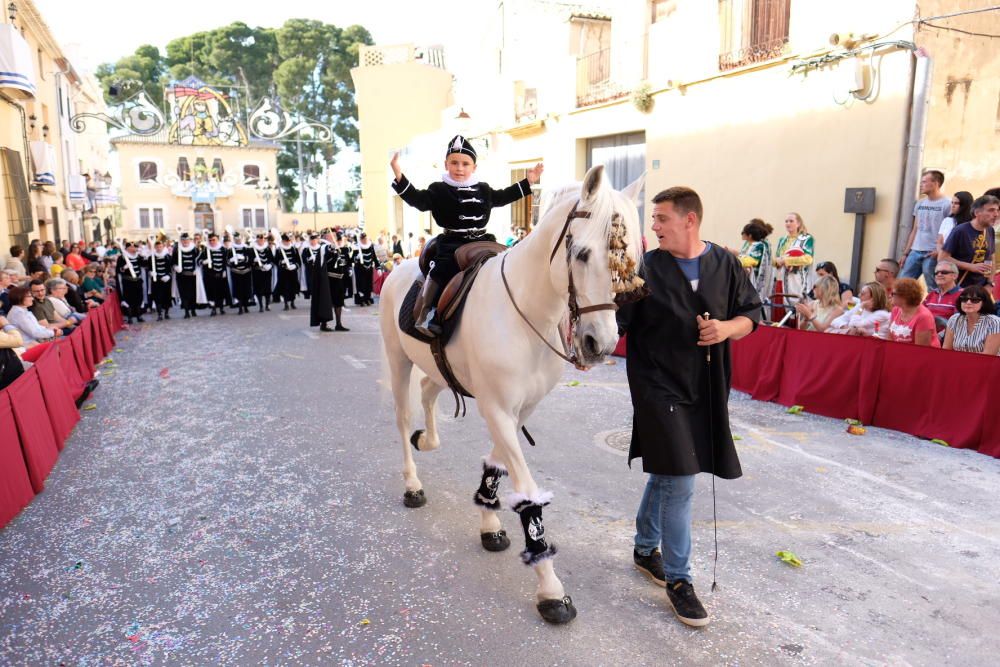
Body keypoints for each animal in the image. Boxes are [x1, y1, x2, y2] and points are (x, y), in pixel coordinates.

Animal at [378, 167, 644, 628]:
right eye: (583, 254)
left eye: (632, 263)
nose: (603, 344)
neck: (526, 313)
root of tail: (398, 267)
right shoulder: (497, 408)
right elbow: (527, 493)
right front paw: (549, 587)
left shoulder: (519, 409)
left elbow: (497, 464)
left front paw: (488, 517)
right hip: (399, 361)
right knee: (402, 416)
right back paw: (412, 482)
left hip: (436, 368)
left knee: (429, 391)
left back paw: (427, 439)